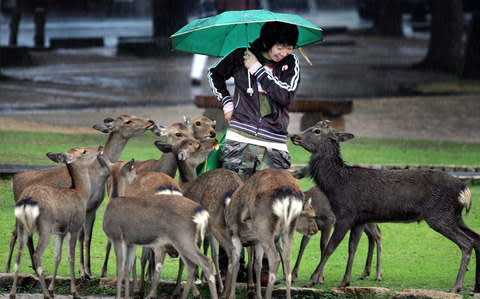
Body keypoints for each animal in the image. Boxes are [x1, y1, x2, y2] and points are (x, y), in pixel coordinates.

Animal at [10, 146, 104, 299]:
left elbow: (57, 257)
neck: (81, 194)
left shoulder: (59, 231)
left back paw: (13, 294)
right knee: (37, 255)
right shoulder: (74, 227)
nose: (100, 147)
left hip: (22, 226)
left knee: (18, 257)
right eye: (84, 151)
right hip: (44, 227)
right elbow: (71, 257)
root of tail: (25, 202)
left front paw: (53, 290)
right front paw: (74, 292)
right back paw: (45, 294)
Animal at [103, 137, 219, 298]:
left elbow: (138, 259)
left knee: (160, 256)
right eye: (197, 144)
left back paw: (150, 292)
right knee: (186, 260)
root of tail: (170, 190)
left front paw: (139, 288)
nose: (214, 139)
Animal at [288, 120, 480, 294]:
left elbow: (329, 247)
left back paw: (456, 287)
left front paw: (312, 280)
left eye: (317, 130)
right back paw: (475, 287)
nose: (294, 136)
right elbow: (352, 247)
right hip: (454, 216)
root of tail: (465, 190)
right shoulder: (359, 219)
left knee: (466, 243)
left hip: (440, 216)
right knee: (476, 238)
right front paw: (345, 282)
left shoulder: (345, 215)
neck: (336, 185)